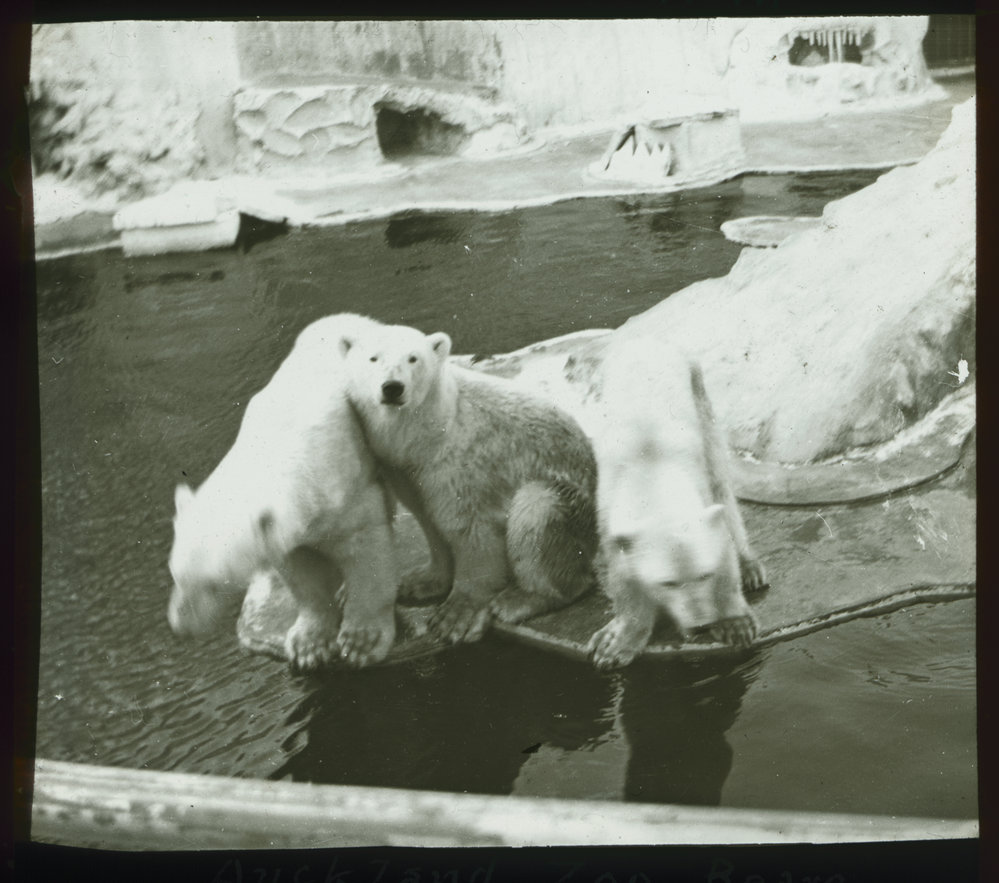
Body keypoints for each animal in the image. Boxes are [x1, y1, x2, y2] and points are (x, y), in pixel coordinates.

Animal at [167, 313, 400, 670]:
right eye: (176, 575)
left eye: (213, 584)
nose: (180, 627)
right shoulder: (289, 530)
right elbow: (302, 573)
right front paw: (310, 644)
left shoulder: (344, 492)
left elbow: (367, 553)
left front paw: (361, 641)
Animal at [339, 321, 599, 644]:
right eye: (373, 358)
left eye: (413, 358)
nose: (392, 387)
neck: (428, 433)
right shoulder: (404, 469)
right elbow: (428, 519)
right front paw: (420, 581)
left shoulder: (466, 458)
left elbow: (471, 526)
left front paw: (455, 616)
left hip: (576, 510)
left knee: (538, 508)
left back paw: (521, 598)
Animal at [586, 334, 767, 670]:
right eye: (667, 583)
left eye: (704, 574)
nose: (701, 625)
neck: (650, 468)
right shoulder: (608, 521)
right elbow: (623, 579)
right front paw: (615, 644)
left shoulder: (700, 497)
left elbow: (722, 548)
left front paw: (736, 623)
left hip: (699, 393)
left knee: (720, 476)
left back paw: (751, 567)